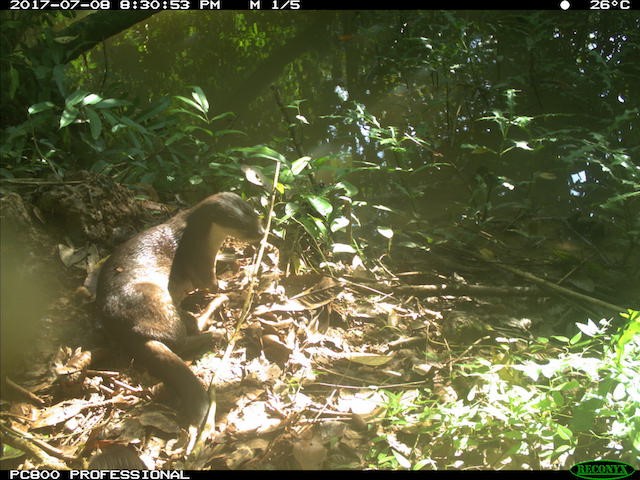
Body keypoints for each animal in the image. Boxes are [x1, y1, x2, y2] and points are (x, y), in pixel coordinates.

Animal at [95, 191, 264, 424]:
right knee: (183, 338)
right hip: (157, 299)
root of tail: (125, 331)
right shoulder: (199, 260)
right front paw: (238, 282)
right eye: (240, 225)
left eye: (256, 215)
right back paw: (217, 323)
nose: (261, 233)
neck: (198, 233)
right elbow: (212, 284)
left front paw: (228, 256)